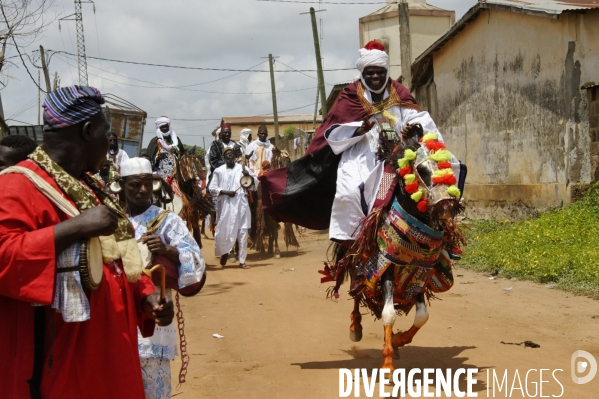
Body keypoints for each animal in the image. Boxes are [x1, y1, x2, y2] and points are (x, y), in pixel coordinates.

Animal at [322, 124, 466, 372]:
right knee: (357, 291)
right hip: (357, 259)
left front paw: (398, 341)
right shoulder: (386, 267)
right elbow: (389, 314)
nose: (446, 204)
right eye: (421, 169)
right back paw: (355, 328)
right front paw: (387, 364)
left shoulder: (420, 273)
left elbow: (421, 316)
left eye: (445, 165)